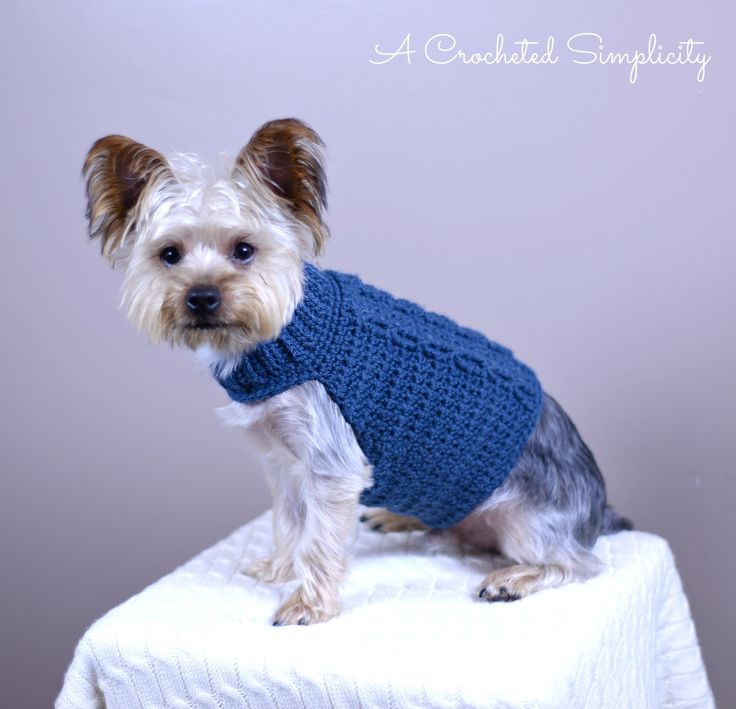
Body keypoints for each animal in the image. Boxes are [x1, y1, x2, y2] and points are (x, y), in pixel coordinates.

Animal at [83, 116, 628, 624]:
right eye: (168, 255)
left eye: (244, 250)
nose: (201, 297)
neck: (281, 337)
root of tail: (599, 509)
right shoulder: (285, 463)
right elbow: (290, 522)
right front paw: (281, 567)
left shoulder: (330, 463)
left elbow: (319, 539)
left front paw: (308, 603)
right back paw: (397, 518)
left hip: (526, 520)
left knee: (577, 563)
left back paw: (514, 577)